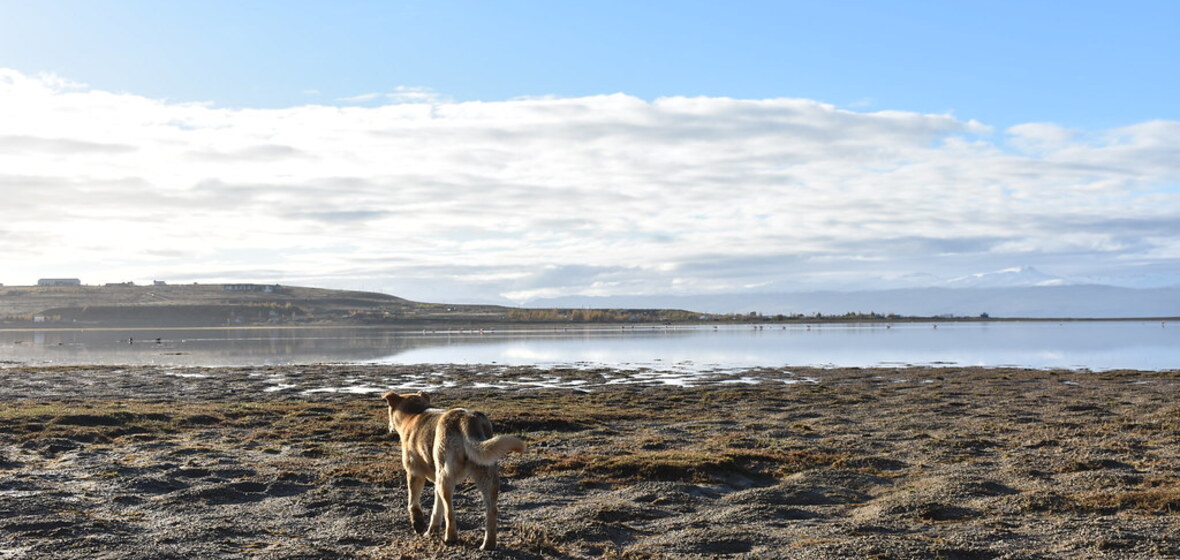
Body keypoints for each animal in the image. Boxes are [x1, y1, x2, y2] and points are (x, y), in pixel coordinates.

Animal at [382, 391, 526, 549]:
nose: (389, 427)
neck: (414, 414)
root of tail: (466, 419)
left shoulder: (414, 473)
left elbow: (413, 502)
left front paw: (418, 524)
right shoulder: (436, 481)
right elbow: (436, 508)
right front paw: (431, 531)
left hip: (446, 476)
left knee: (450, 512)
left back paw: (450, 538)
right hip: (485, 474)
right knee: (491, 510)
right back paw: (488, 544)